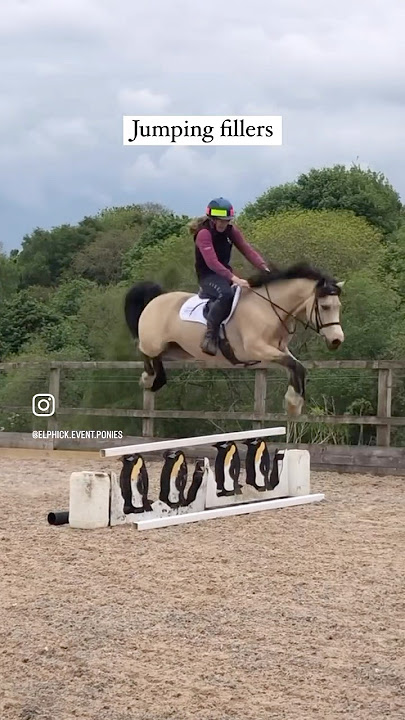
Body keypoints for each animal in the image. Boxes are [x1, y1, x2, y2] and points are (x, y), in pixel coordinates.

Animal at [124, 262, 345, 416]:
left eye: (338, 306)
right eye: (325, 307)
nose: (337, 340)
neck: (267, 308)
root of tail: (155, 299)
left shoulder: (277, 350)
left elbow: (296, 366)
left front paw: (293, 405)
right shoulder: (257, 348)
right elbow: (294, 366)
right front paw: (293, 403)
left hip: (177, 350)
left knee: (157, 359)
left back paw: (152, 378)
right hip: (153, 343)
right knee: (144, 351)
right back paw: (149, 379)